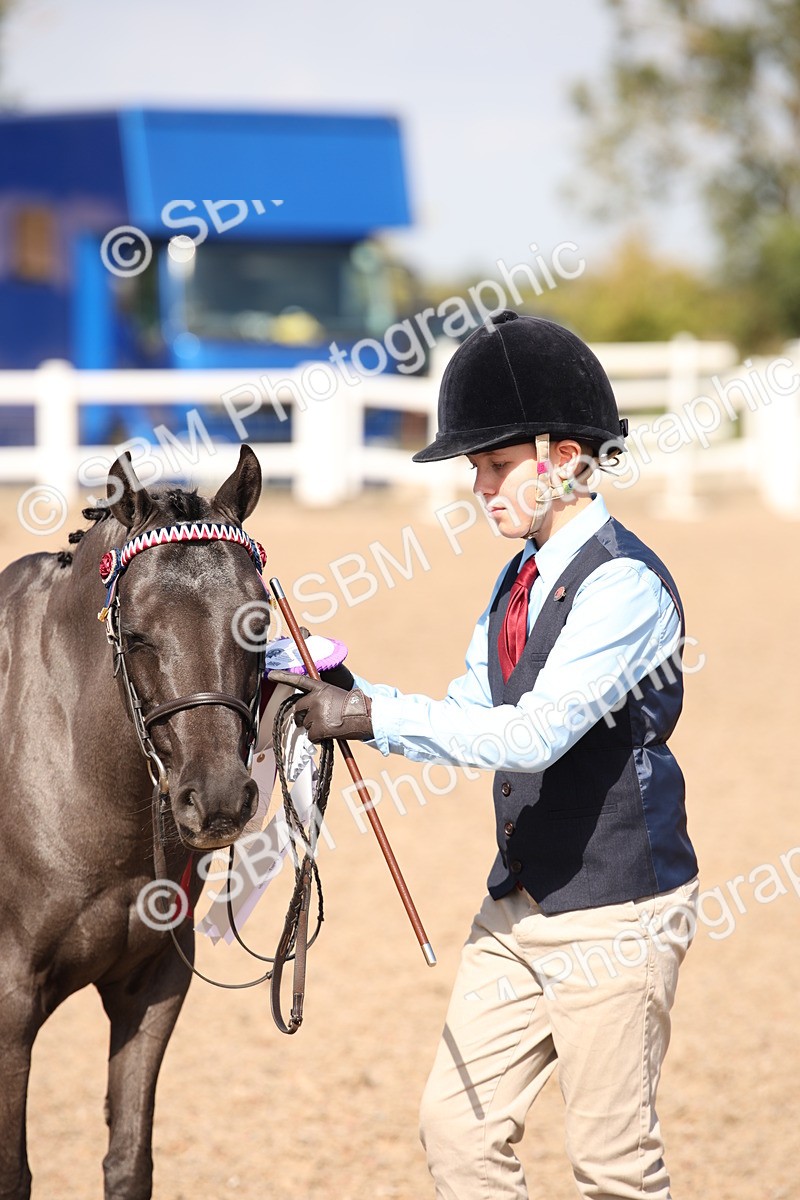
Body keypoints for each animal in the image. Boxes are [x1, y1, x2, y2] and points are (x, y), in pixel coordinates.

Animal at [0, 445, 269, 1199]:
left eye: (258, 622)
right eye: (137, 633)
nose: (217, 799)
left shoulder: (151, 986)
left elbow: (128, 1164)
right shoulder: (10, 1004)